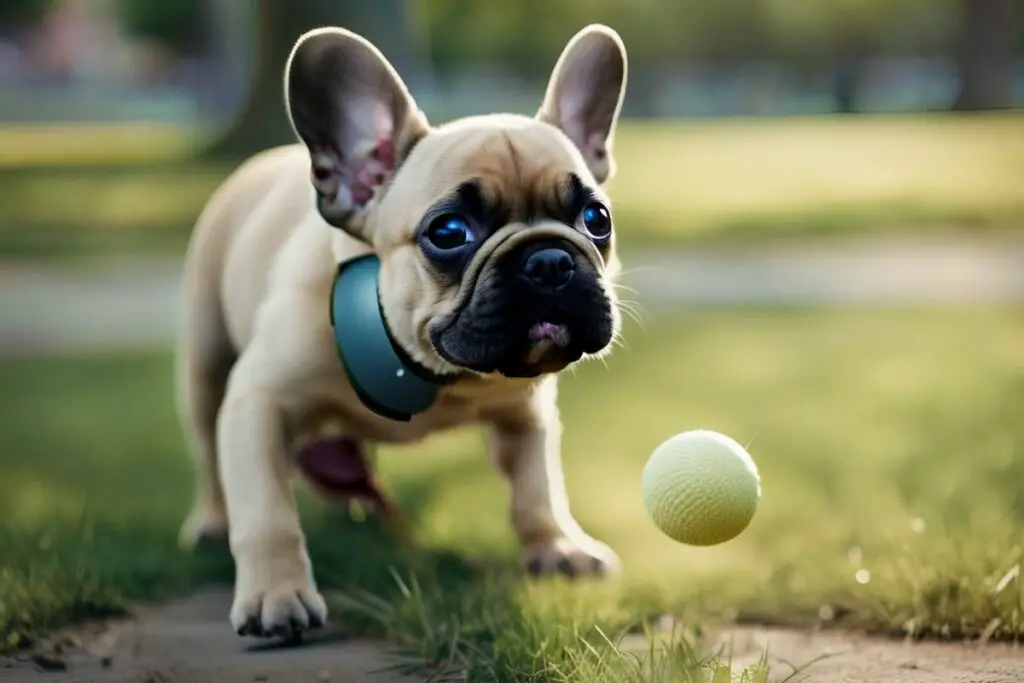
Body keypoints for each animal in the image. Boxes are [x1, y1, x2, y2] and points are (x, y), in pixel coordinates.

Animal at [175, 22, 622, 643]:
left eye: (597, 220)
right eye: (449, 232)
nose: (550, 261)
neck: (436, 372)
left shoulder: (526, 416)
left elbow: (539, 486)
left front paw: (558, 546)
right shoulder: (257, 402)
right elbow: (266, 511)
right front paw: (276, 594)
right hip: (206, 365)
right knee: (209, 458)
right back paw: (212, 522)